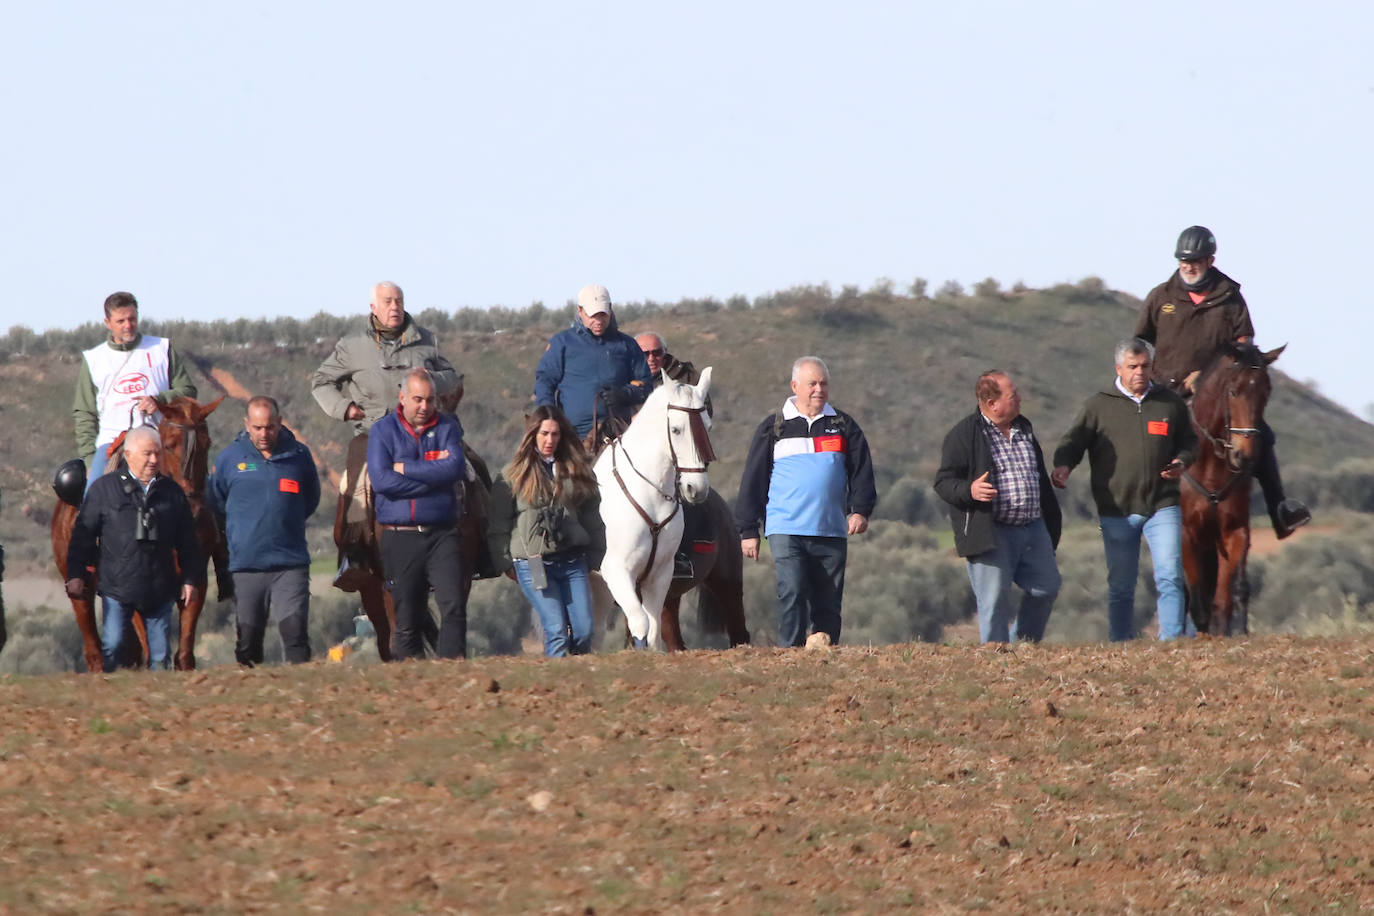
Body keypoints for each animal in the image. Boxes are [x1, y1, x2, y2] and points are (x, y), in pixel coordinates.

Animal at [1176, 341, 1280, 637]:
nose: (1245, 456)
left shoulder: (1235, 532)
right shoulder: (1186, 533)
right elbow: (1198, 600)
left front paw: (1223, 633)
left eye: (1266, 392)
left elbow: (1223, 598)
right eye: (1233, 391)